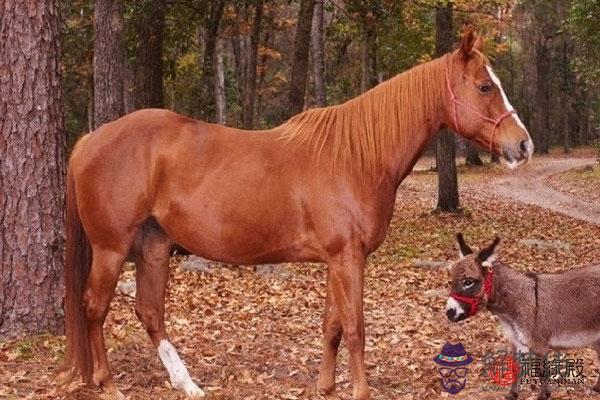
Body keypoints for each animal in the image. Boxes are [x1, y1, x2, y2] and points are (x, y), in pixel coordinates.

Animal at [63, 32, 532, 400]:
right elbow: (356, 327)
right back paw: (107, 384)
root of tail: (90, 139)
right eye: (485, 86)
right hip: (111, 249)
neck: (356, 157)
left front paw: (326, 387)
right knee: (95, 308)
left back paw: (188, 384)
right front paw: (360, 391)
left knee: (149, 312)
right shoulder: (348, 259)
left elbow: (332, 327)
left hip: (154, 247)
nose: (523, 145)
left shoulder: (337, 260)